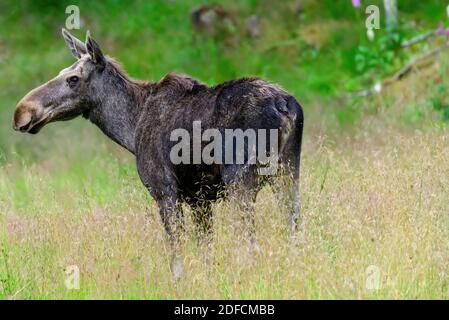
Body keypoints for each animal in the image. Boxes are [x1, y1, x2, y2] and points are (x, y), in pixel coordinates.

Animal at [12, 29, 302, 276]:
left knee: (251, 246)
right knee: (295, 230)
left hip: (240, 181)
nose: (21, 111)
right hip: (288, 174)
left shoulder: (164, 190)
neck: (131, 126)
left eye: (73, 79)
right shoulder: (200, 199)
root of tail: (285, 107)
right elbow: (205, 253)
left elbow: (177, 258)